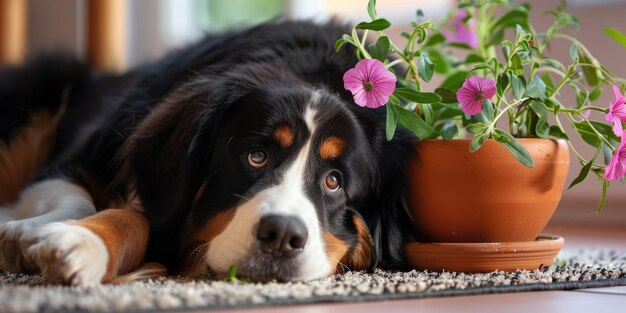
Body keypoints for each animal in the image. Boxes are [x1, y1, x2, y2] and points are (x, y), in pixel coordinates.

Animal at [1, 21, 420, 286]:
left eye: (334, 181)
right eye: (256, 157)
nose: (282, 235)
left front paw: (78, 244)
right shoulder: (77, 160)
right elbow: (94, 203)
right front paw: (71, 241)